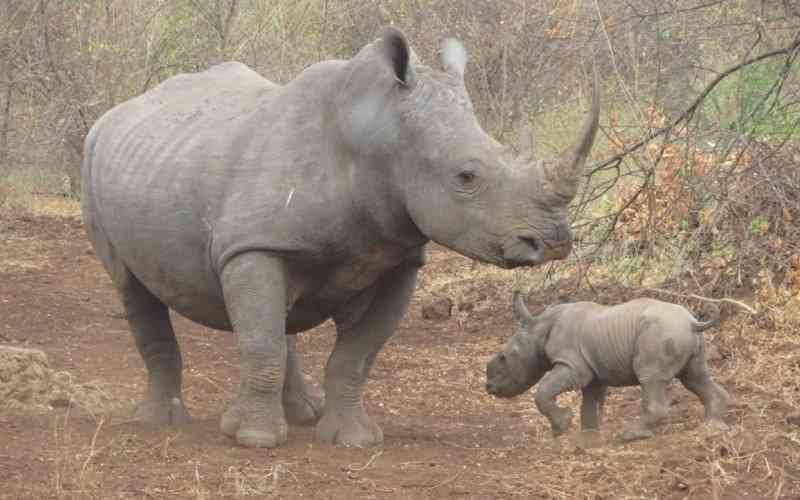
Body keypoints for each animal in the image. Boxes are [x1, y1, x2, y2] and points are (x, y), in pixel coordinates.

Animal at [83, 28, 600, 450]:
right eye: (466, 176)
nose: (554, 242)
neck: (382, 134)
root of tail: (115, 113)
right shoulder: (253, 246)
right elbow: (261, 343)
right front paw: (253, 439)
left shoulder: (398, 256)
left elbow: (356, 354)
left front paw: (354, 440)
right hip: (99, 156)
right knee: (131, 284)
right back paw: (160, 422)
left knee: (276, 315)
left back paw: (303, 413)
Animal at [484, 292, 728, 442]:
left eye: (503, 358)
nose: (489, 387)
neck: (539, 329)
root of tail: (693, 322)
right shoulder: (593, 371)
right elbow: (590, 404)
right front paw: (588, 438)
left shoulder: (573, 366)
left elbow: (543, 391)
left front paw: (562, 427)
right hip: (681, 335)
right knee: (695, 377)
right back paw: (712, 427)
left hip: (660, 333)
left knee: (651, 378)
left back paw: (630, 435)